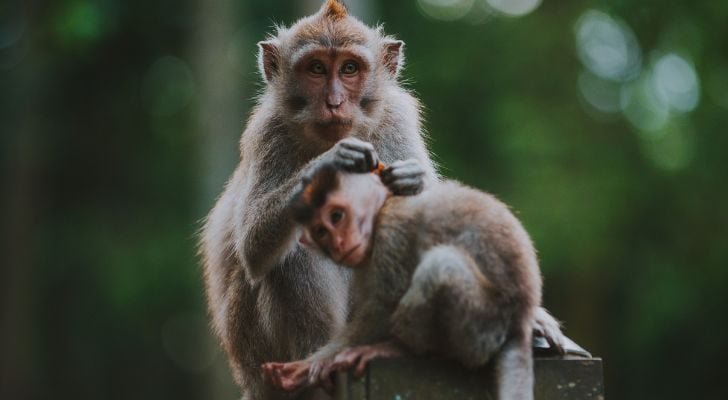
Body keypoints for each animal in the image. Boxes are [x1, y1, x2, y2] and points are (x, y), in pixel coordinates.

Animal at [262, 160, 541, 400]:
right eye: (321, 232)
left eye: (337, 216)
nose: (338, 244)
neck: (383, 208)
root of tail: (520, 323)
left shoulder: (391, 234)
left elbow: (383, 306)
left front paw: (317, 362)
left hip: (483, 329)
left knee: (440, 267)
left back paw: (401, 348)